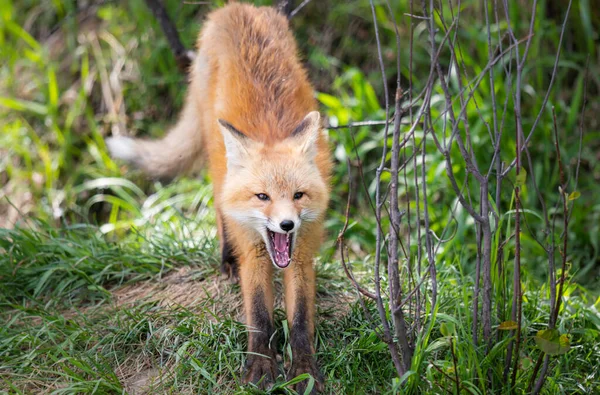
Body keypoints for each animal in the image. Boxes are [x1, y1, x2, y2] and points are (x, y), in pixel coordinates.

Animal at [108, 3, 332, 392]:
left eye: (298, 195)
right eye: (262, 196)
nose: (287, 224)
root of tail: (237, 8)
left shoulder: (302, 253)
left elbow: (301, 321)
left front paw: (304, 369)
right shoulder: (254, 254)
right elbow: (259, 316)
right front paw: (260, 367)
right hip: (216, 161)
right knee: (218, 206)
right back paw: (226, 259)